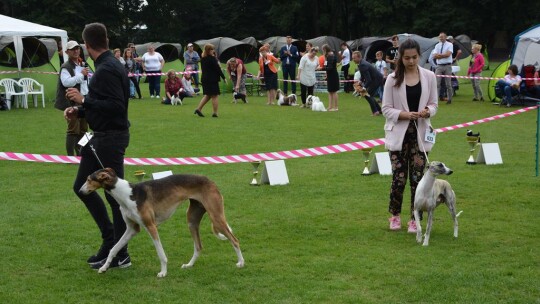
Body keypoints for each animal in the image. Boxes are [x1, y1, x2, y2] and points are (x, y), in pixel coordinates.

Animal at [78, 169, 245, 278]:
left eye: (89, 179)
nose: (79, 191)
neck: (126, 194)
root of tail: (210, 181)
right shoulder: (132, 229)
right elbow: (113, 249)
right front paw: (104, 267)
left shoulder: (151, 226)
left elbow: (160, 253)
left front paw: (163, 272)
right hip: (191, 220)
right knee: (198, 246)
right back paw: (189, 265)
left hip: (216, 217)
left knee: (235, 240)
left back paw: (241, 263)